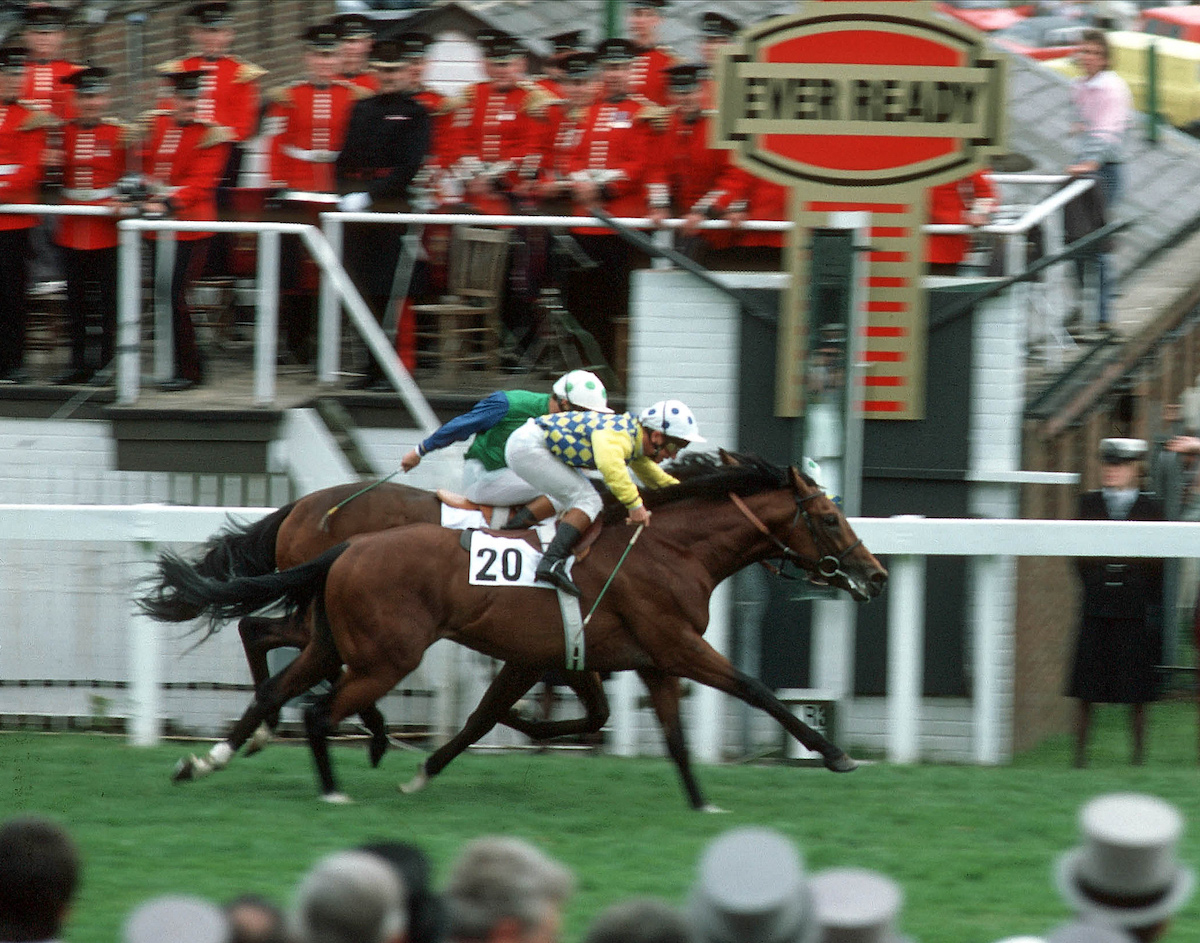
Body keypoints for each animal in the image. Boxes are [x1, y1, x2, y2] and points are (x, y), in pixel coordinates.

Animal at [142, 453, 892, 801]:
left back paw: (213, 755)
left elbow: (501, 717)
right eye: (829, 518)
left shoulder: (576, 654)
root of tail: (327, 526)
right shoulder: (673, 644)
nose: (876, 573)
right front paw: (833, 752)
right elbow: (755, 688)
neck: (668, 547)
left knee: (274, 667)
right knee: (306, 686)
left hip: (333, 635)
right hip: (381, 649)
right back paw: (336, 760)